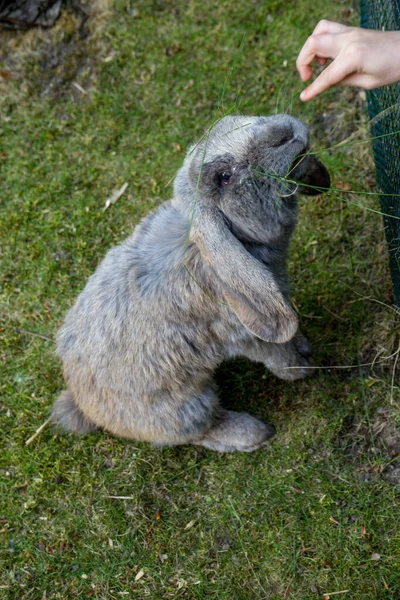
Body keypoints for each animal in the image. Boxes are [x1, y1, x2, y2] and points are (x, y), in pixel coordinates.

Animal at [51, 115, 330, 452]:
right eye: (224, 177)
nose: (285, 131)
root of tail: (83, 405)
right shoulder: (247, 334)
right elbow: (279, 356)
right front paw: (302, 369)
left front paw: (304, 346)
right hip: (188, 405)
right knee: (201, 430)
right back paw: (252, 433)